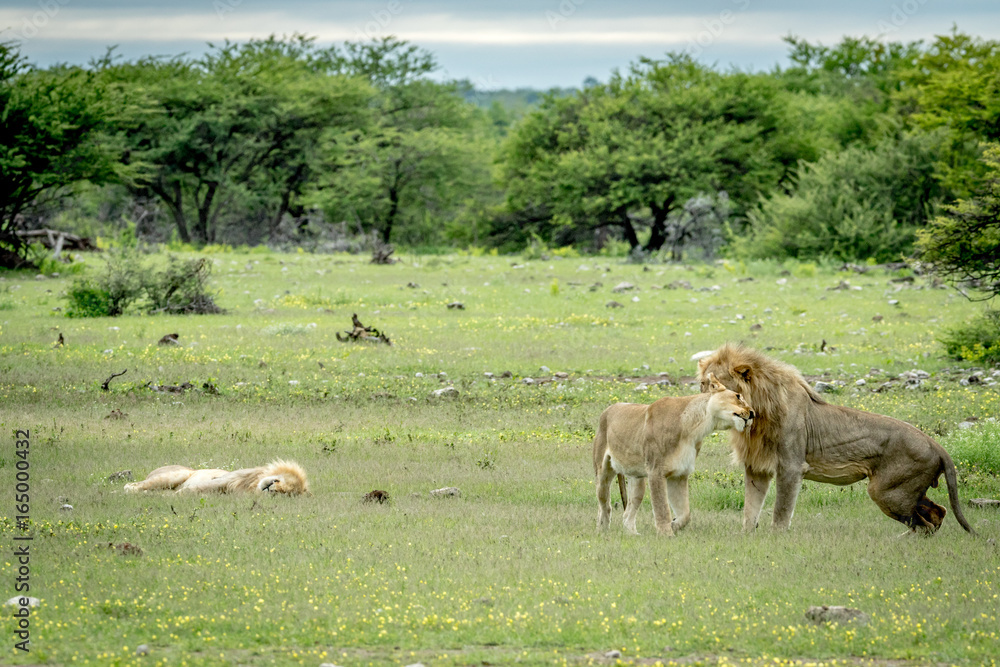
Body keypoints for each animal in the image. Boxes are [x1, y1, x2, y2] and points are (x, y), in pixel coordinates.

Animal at [594, 373, 755, 536]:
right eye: (738, 396)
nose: (753, 413)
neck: (695, 429)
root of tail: (608, 409)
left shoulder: (679, 474)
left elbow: (685, 514)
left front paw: (674, 525)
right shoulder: (656, 471)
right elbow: (662, 508)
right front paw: (666, 534)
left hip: (637, 479)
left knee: (628, 512)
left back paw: (633, 534)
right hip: (603, 472)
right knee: (604, 504)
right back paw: (603, 529)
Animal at [696, 343, 974, 535]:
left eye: (718, 384)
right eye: (702, 384)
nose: (701, 402)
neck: (757, 415)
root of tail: (937, 446)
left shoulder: (791, 466)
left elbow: (781, 510)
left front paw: (776, 538)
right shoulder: (756, 467)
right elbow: (750, 508)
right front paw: (746, 536)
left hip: (886, 490)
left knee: (924, 525)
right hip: (905, 489)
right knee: (937, 514)